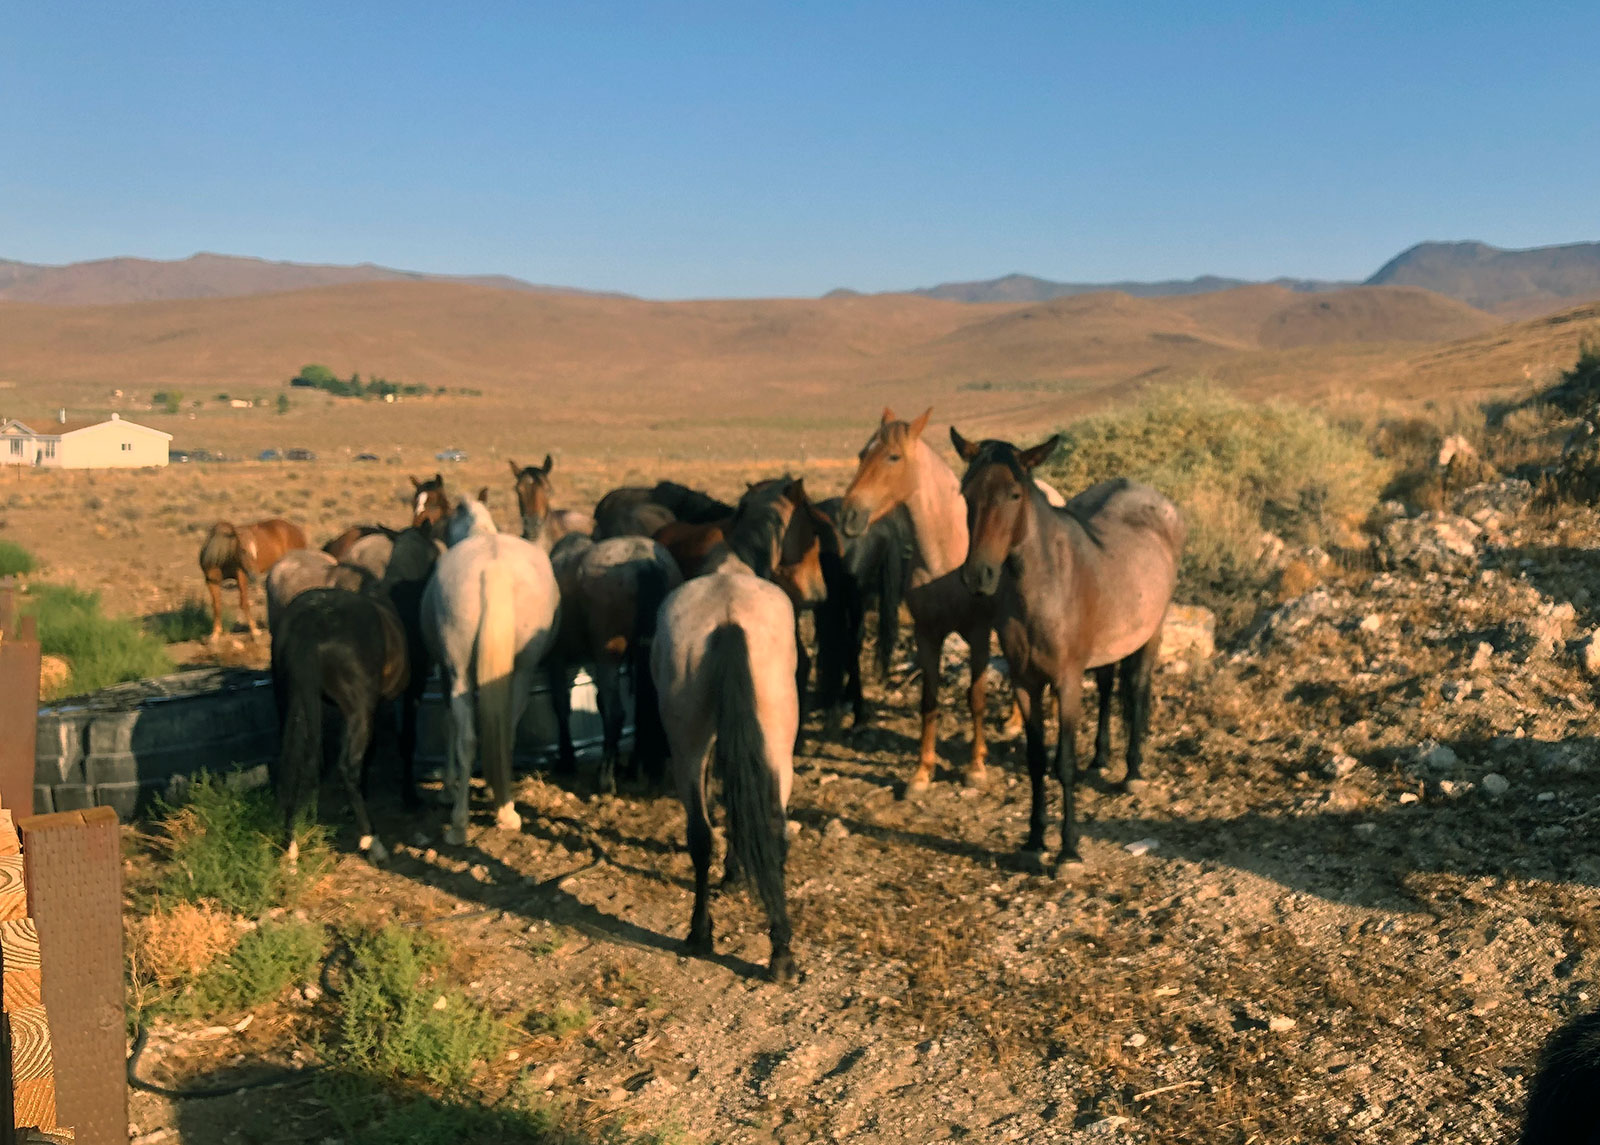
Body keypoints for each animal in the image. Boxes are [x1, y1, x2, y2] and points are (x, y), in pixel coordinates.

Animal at [270, 582, 409, 869]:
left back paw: (290, 846)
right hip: (358, 710)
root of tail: (310, 624)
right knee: (347, 767)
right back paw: (372, 842)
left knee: (291, 765)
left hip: (291, 700)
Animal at [422, 495, 560, 844]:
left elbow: (449, 724)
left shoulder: (445, 671)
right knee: (506, 731)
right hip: (523, 671)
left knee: (468, 738)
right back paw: (506, 810)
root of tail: (494, 567)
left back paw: (458, 825)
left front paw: (448, 788)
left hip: (458, 673)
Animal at [544, 530, 681, 793]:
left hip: (608, 655)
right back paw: (641, 769)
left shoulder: (557, 659)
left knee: (615, 712)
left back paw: (606, 779)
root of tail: (646, 562)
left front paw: (567, 760)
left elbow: (561, 705)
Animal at [947, 428, 1190, 869]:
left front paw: (1069, 850)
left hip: (1152, 631)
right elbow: (1036, 760)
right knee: (1109, 686)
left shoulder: (1066, 682)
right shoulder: (1025, 683)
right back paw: (1101, 759)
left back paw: (1133, 772)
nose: (978, 576)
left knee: (1137, 687)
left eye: (1014, 494)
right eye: (965, 493)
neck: (1044, 585)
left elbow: (1063, 763)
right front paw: (1034, 840)